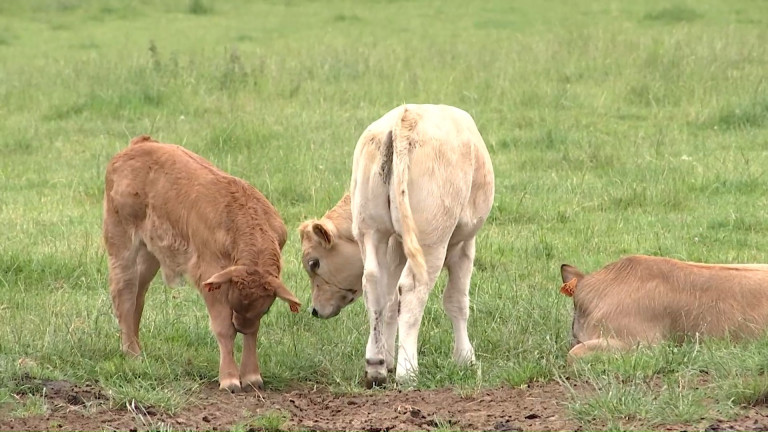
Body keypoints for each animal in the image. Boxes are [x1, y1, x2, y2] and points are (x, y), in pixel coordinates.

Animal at [103, 135, 302, 392]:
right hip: (122, 245)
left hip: (149, 256)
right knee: (124, 293)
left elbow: (253, 331)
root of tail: (140, 144)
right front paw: (229, 379)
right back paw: (132, 353)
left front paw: (252, 376)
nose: (241, 324)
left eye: (264, 307)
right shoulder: (210, 278)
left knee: (138, 296)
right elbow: (223, 328)